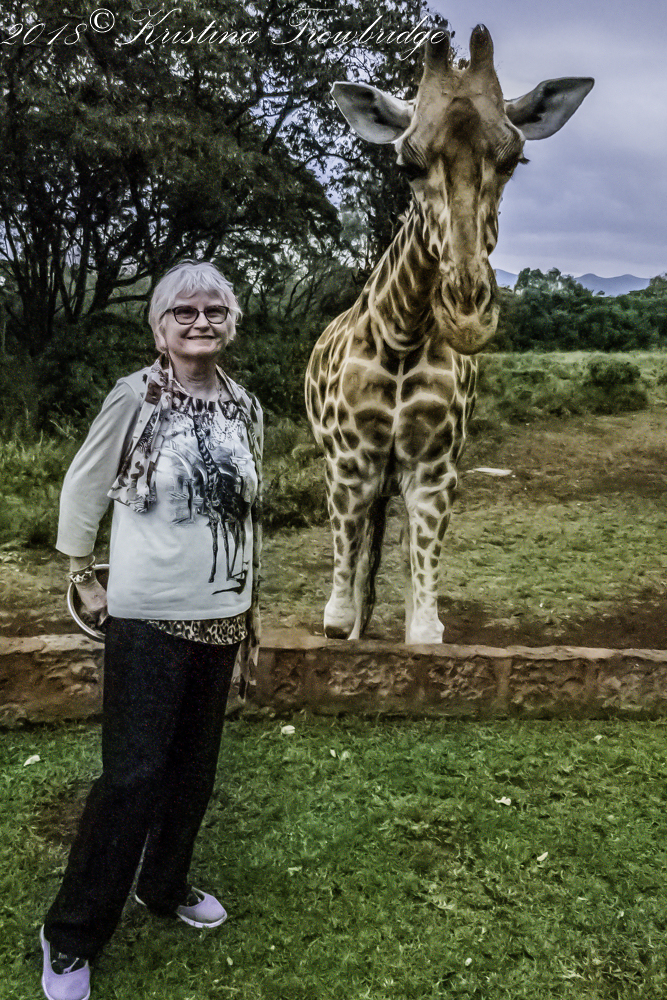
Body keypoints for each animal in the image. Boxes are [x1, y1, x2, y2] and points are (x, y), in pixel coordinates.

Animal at [305, 25, 593, 643]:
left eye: (514, 159)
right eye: (407, 164)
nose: (465, 311)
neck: (404, 336)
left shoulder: (433, 471)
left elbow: (424, 627)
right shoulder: (349, 465)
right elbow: (339, 619)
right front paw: (350, 628)